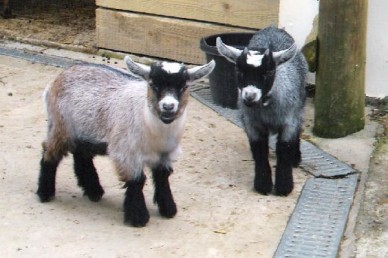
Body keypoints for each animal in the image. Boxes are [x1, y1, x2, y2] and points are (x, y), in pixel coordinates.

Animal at [36, 56, 215, 226]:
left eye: (184, 86)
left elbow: (162, 177)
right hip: (60, 126)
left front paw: (168, 209)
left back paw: (94, 191)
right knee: (49, 153)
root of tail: (58, 78)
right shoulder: (126, 152)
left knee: (81, 155)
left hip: (84, 131)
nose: (168, 107)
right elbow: (137, 181)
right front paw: (138, 217)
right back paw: (45, 193)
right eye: (153, 84)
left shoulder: (166, 154)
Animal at [217, 26, 308, 196]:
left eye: (269, 72)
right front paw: (263, 185)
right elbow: (259, 151)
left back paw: (296, 158)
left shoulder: (289, 123)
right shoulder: (252, 124)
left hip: (300, 105)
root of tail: (273, 27)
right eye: (239, 71)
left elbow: (284, 149)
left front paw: (284, 187)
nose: (249, 97)